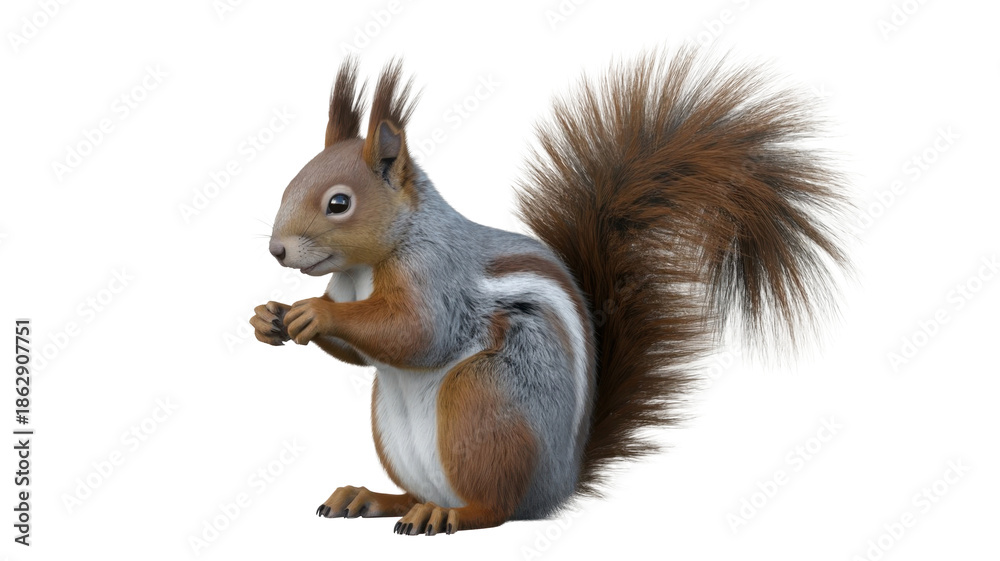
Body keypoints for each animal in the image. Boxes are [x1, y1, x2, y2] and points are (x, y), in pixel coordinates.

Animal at [249, 49, 849, 536]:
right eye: (288, 182)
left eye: (339, 203)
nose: (277, 250)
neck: (365, 269)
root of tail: (560, 484)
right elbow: (361, 350)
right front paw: (268, 315)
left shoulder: (435, 275)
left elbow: (417, 332)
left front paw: (313, 313)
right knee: (418, 492)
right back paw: (373, 498)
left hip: (486, 401)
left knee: (496, 507)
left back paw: (447, 514)